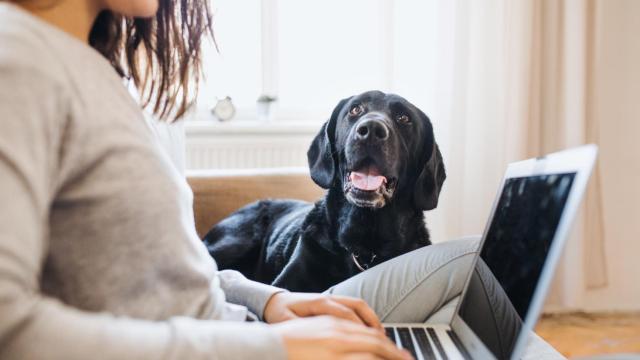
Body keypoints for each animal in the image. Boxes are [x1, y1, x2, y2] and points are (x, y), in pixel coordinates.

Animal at [205, 90, 444, 292]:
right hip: (235, 242)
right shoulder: (286, 284)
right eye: (355, 109)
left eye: (404, 118)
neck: (365, 246)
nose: (371, 130)